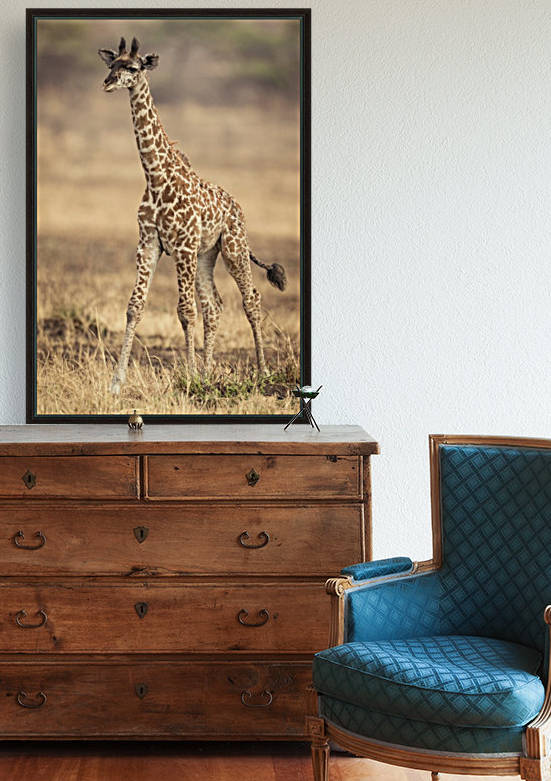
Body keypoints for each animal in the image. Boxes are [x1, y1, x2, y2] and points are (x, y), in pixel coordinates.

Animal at [98, 37, 287, 394]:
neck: (155, 177)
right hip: (205, 256)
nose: (108, 83)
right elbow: (134, 307)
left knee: (250, 299)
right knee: (214, 306)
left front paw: (188, 377)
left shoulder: (182, 246)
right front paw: (116, 383)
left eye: (133, 68)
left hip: (232, 248)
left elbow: (185, 311)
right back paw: (210, 373)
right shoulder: (149, 244)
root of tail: (237, 206)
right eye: (112, 64)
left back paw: (263, 372)